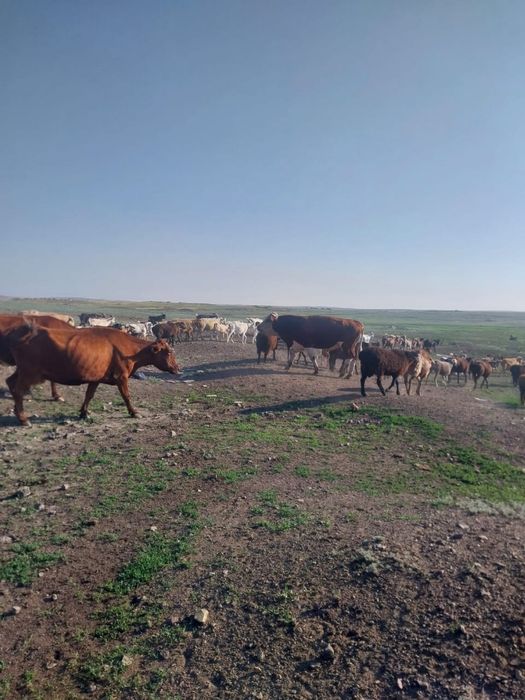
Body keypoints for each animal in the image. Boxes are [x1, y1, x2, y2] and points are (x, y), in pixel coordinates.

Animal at [4, 324, 181, 426]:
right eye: (169, 352)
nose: (178, 368)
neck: (132, 352)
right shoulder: (121, 376)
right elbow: (126, 396)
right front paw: (134, 412)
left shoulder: (96, 378)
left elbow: (89, 395)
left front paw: (83, 413)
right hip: (29, 372)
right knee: (18, 390)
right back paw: (23, 419)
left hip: (23, 371)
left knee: (10, 382)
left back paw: (17, 413)